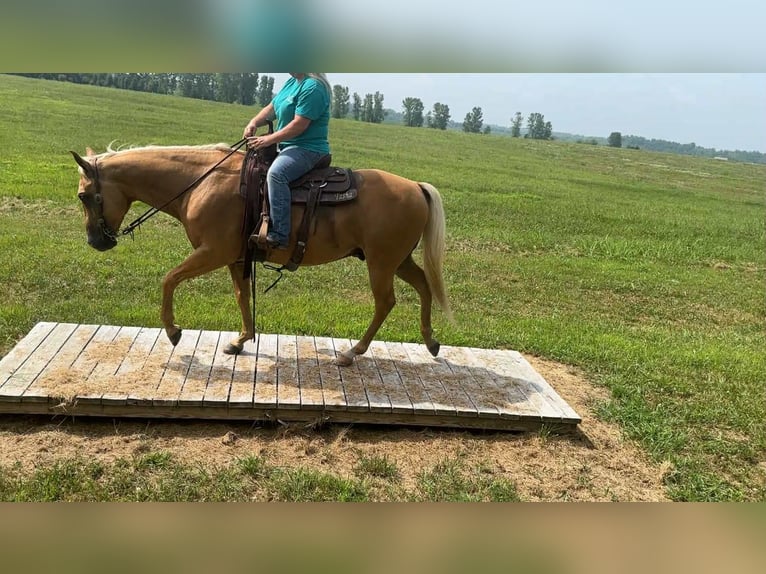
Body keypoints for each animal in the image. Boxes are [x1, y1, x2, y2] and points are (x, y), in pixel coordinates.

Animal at [70, 143, 452, 366]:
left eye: (84, 196)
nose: (95, 241)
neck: (201, 182)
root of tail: (415, 187)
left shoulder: (213, 252)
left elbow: (169, 279)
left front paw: (173, 330)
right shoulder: (237, 257)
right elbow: (242, 295)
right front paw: (241, 341)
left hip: (381, 263)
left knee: (386, 302)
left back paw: (351, 352)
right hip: (398, 260)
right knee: (423, 286)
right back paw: (431, 341)